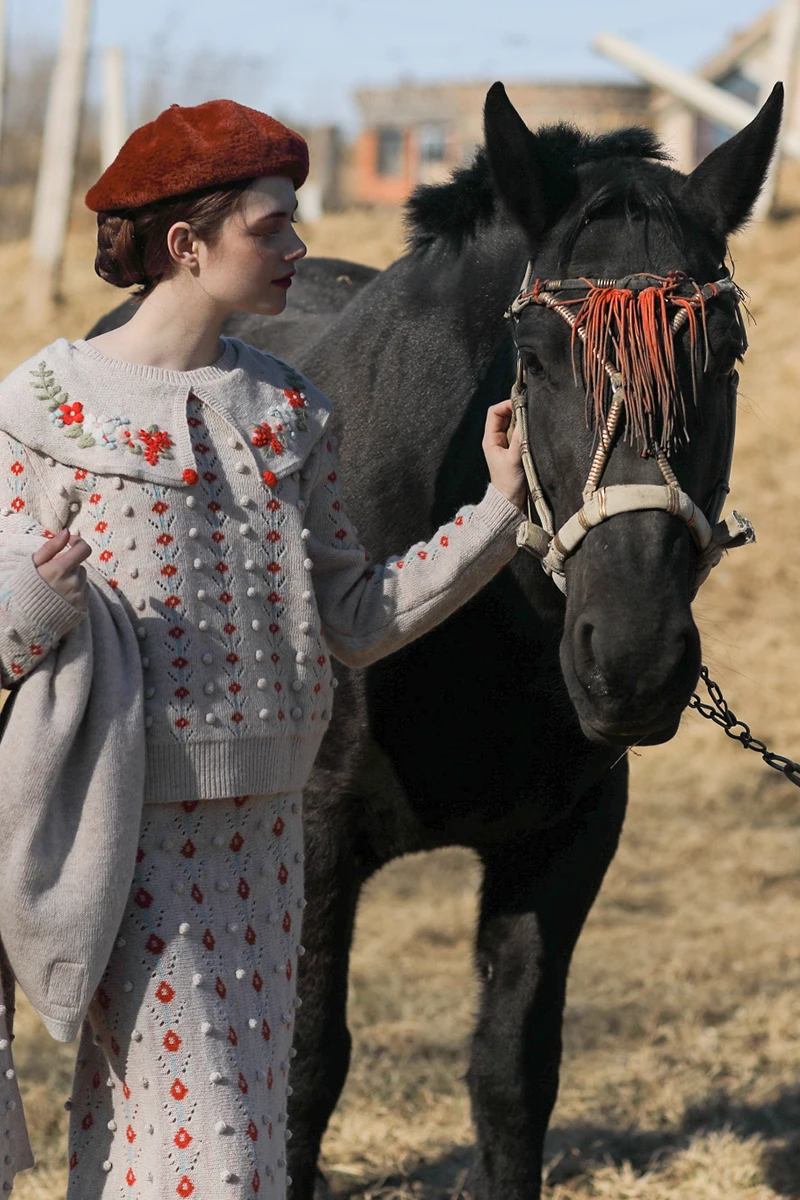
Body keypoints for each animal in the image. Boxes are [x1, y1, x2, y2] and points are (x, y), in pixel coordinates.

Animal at [87, 87, 782, 1200]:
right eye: (535, 361)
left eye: (723, 357)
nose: (632, 662)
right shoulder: (317, 834)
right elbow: (303, 1070)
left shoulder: (568, 839)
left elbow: (510, 1072)